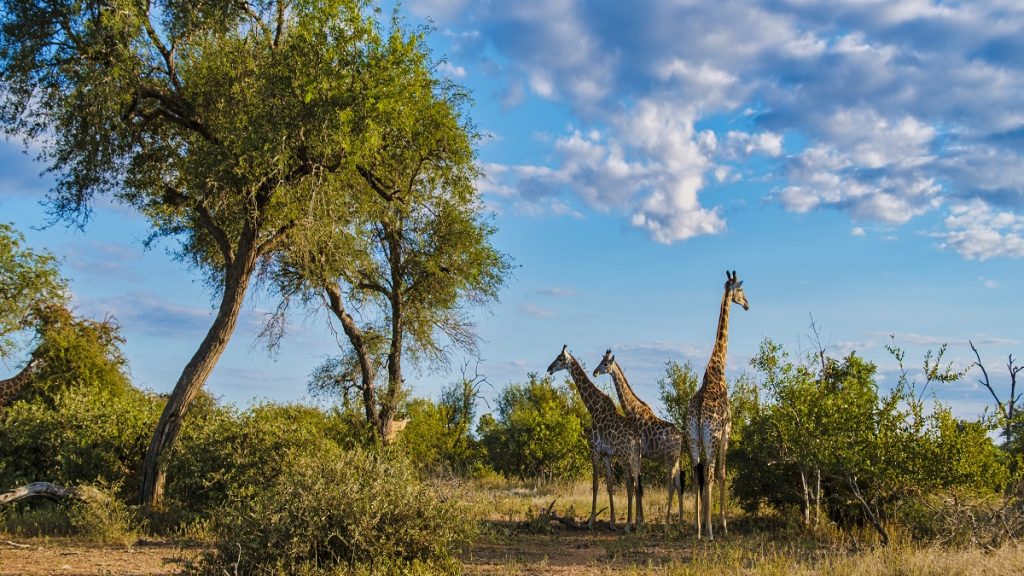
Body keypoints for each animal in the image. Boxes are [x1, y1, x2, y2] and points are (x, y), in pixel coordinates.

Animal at [544, 344, 638, 528]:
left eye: (560, 358)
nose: (549, 368)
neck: (593, 407)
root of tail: (636, 439)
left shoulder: (594, 449)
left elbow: (595, 484)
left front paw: (591, 521)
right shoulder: (606, 454)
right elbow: (609, 484)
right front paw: (612, 522)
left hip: (625, 456)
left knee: (630, 483)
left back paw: (629, 525)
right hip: (634, 457)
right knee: (636, 482)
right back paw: (636, 522)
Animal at [598, 348, 684, 528]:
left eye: (605, 363)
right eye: (600, 361)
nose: (595, 372)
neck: (632, 410)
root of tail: (681, 437)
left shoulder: (637, 452)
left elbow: (637, 483)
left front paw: (638, 521)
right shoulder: (640, 454)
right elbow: (639, 482)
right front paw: (640, 520)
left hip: (669, 459)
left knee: (671, 486)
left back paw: (667, 524)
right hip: (677, 459)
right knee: (679, 485)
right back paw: (680, 521)